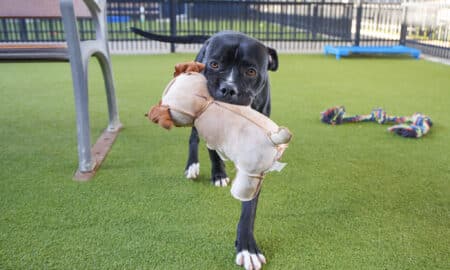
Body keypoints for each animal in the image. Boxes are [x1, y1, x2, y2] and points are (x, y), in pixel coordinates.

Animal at [132, 28, 278, 270]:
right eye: (215, 64)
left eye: (251, 71)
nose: (228, 89)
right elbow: (210, 150)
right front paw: (218, 174)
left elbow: (249, 207)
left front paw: (247, 246)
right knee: (194, 139)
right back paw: (194, 166)